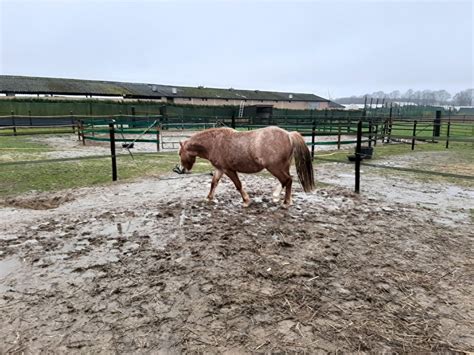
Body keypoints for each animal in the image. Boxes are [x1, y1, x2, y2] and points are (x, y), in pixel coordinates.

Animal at [178, 126, 314, 207]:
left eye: (180, 153)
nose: (181, 170)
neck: (215, 143)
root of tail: (289, 134)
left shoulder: (228, 170)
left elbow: (238, 185)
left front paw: (246, 201)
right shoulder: (220, 169)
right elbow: (213, 183)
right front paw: (209, 198)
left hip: (274, 168)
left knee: (287, 180)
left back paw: (284, 201)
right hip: (282, 167)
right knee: (286, 180)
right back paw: (282, 199)